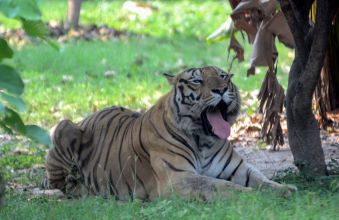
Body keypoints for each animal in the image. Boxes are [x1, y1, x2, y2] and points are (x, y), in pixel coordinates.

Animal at [43, 65, 296, 201]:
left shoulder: (239, 169)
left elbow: (263, 180)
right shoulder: (178, 178)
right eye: (197, 80)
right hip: (64, 127)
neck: (205, 140)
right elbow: (219, 186)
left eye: (223, 76)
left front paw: (285, 189)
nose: (222, 89)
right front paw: (250, 195)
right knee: (62, 184)